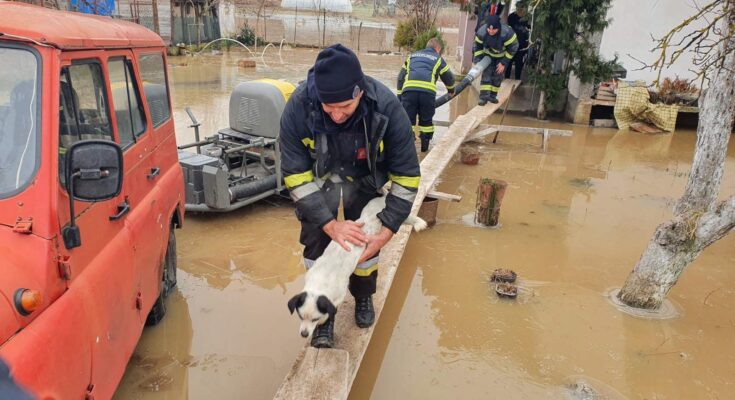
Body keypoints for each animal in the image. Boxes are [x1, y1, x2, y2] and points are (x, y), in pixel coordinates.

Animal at [287, 194, 428, 339]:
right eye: (300, 316)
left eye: (315, 319)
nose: (304, 334)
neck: (321, 280)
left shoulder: (339, 295)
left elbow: (331, 309)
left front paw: (324, 321)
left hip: (391, 219)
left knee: (401, 218)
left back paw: (418, 222)